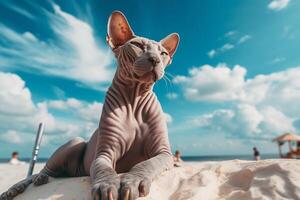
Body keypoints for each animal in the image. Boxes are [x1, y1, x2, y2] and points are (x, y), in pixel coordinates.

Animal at [0, 10, 178, 200]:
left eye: (163, 53)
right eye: (137, 45)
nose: (155, 60)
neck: (134, 98)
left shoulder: (163, 152)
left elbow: (146, 164)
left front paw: (133, 180)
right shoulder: (104, 154)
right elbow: (104, 169)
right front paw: (107, 185)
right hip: (76, 142)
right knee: (41, 171)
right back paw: (22, 185)